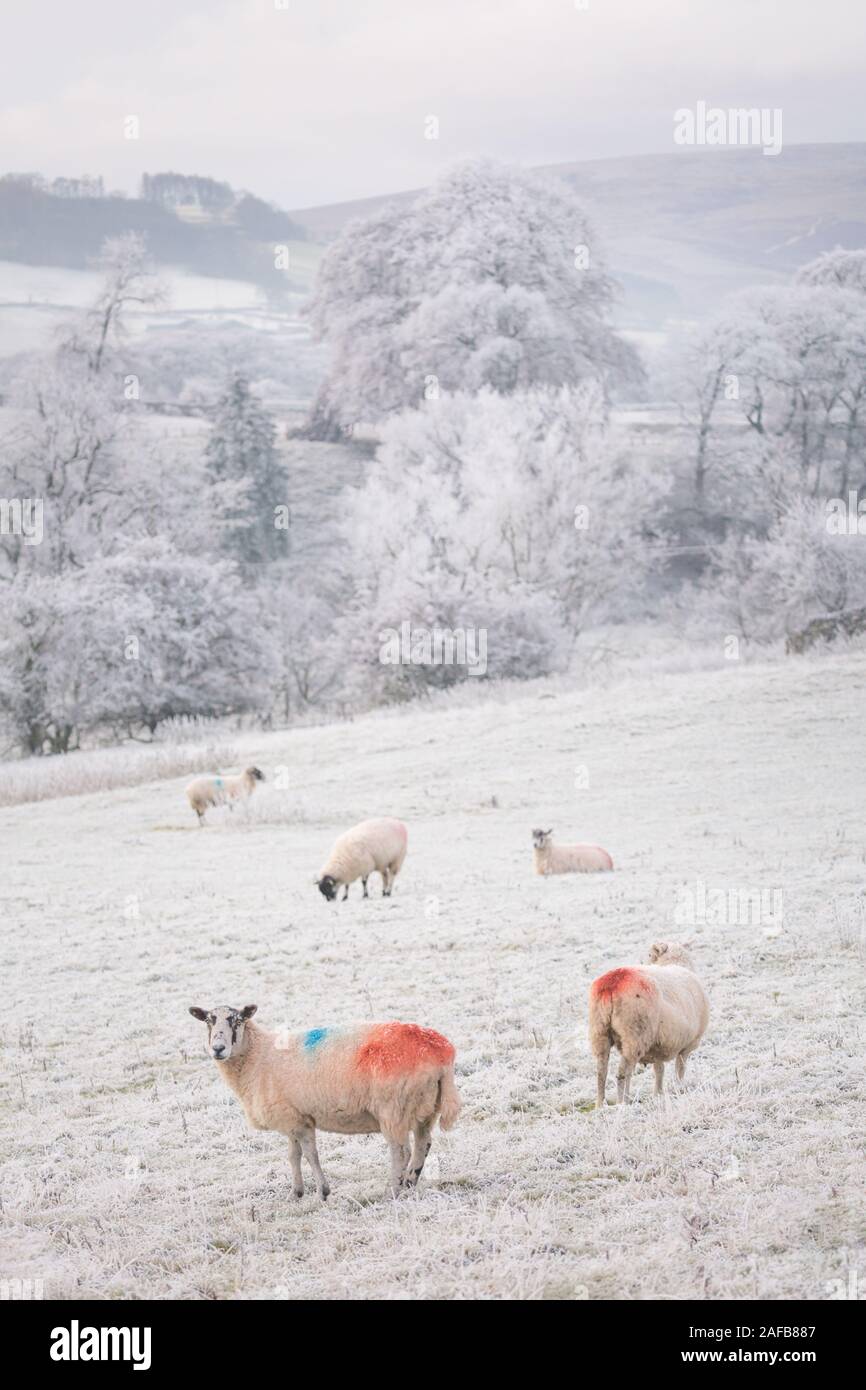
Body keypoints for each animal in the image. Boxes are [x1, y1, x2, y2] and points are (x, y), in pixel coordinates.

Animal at [187, 1006, 461, 1200]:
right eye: (209, 1021)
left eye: (237, 1021)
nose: (218, 1048)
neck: (259, 1057)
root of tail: (440, 1050)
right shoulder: (293, 1117)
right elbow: (293, 1156)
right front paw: (296, 1193)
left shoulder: (297, 1121)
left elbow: (310, 1155)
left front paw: (322, 1192)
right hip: (425, 1107)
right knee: (423, 1144)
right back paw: (410, 1183)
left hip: (394, 1108)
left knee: (401, 1151)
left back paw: (393, 1190)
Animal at [589, 939, 711, 1112]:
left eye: (648, 955)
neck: (675, 963)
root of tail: (613, 982)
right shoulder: (687, 1046)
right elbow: (679, 1070)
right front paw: (679, 1090)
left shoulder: (658, 1046)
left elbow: (659, 1070)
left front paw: (658, 1094)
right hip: (635, 1035)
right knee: (623, 1072)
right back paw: (623, 1103)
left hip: (599, 1032)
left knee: (602, 1072)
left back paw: (601, 1105)